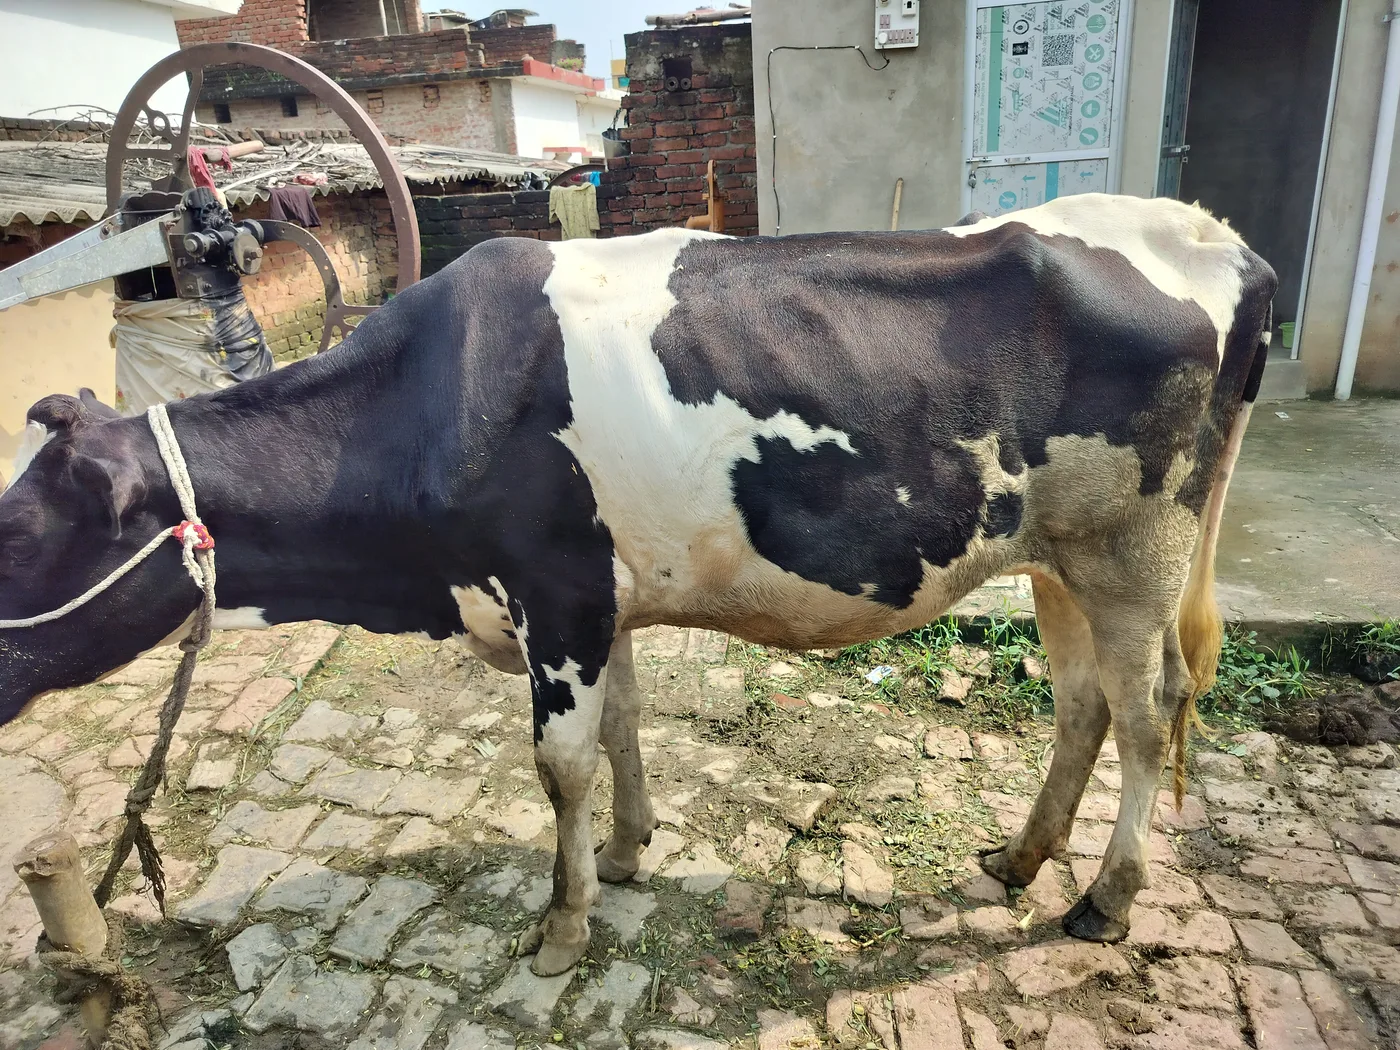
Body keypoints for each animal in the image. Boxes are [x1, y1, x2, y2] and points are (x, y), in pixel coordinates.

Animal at [0, 194, 1275, 976]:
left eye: (16, 537)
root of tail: (1218, 240)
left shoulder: (553, 585)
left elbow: (558, 762)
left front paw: (561, 924)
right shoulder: (595, 596)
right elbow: (619, 725)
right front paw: (623, 853)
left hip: (1135, 550)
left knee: (1150, 714)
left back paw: (1103, 898)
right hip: (1056, 556)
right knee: (1082, 705)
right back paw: (1018, 859)